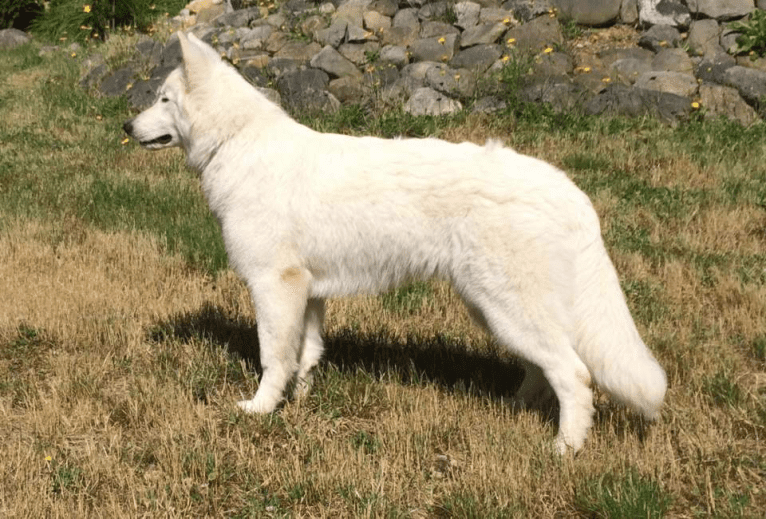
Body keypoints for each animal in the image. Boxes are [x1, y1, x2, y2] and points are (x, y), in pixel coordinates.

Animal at [124, 33, 664, 456]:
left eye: (163, 100)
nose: (126, 128)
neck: (236, 142)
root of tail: (569, 190)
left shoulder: (274, 286)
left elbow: (273, 358)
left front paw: (260, 409)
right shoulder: (309, 293)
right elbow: (306, 355)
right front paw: (299, 402)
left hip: (507, 308)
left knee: (574, 376)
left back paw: (565, 448)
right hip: (494, 310)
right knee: (543, 369)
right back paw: (513, 409)